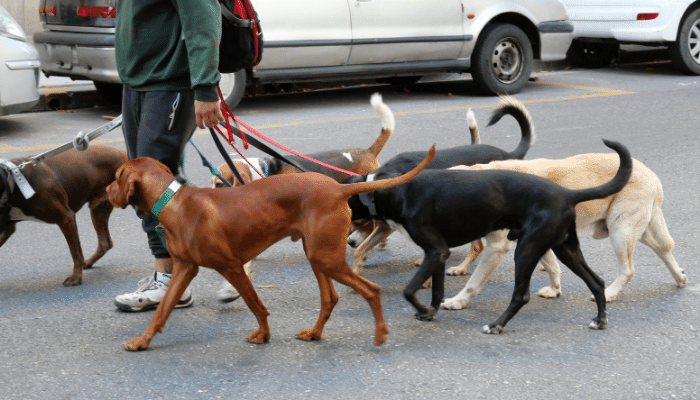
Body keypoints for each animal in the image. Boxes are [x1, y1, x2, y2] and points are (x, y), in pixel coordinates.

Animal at [0, 145, 127, 286]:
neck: (12, 181)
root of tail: (125, 154)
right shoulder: (6, 227)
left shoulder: (66, 218)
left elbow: (75, 252)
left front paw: (76, 277)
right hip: (98, 207)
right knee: (105, 243)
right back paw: (88, 262)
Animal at [106, 145, 434, 350]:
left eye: (117, 176)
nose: (107, 191)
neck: (173, 202)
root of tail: (340, 187)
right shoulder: (185, 269)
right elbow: (162, 311)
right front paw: (142, 342)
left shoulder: (232, 267)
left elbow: (256, 305)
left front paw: (263, 335)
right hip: (317, 255)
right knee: (330, 298)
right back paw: (315, 333)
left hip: (325, 257)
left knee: (371, 290)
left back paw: (380, 334)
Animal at [346, 139, 636, 332]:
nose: (346, 239)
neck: (394, 188)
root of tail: (567, 193)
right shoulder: (437, 254)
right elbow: (437, 291)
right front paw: (430, 311)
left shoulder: (436, 251)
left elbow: (409, 290)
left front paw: (424, 309)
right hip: (565, 248)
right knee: (597, 282)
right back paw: (600, 319)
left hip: (526, 249)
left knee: (521, 296)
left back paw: (497, 325)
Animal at [442, 153, 684, 310]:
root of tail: (651, 175)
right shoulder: (537, 239)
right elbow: (552, 265)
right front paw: (555, 289)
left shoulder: (502, 246)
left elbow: (475, 282)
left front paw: (457, 301)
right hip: (639, 231)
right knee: (665, 249)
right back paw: (680, 277)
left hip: (621, 230)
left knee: (628, 270)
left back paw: (610, 293)